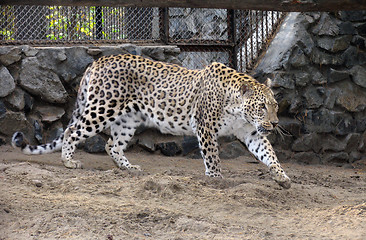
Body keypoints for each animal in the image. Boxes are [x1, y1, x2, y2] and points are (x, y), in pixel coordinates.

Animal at [12, 53, 292, 188]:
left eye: (275, 106)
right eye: (262, 106)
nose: (275, 124)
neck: (237, 108)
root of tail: (98, 61)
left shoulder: (252, 133)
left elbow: (268, 153)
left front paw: (281, 177)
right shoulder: (205, 127)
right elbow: (213, 157)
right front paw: (216, 179)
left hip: (128, 119)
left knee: (111, 144)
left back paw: (129, 168)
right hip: (102, 108)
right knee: (72, 131)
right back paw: (69, 162)